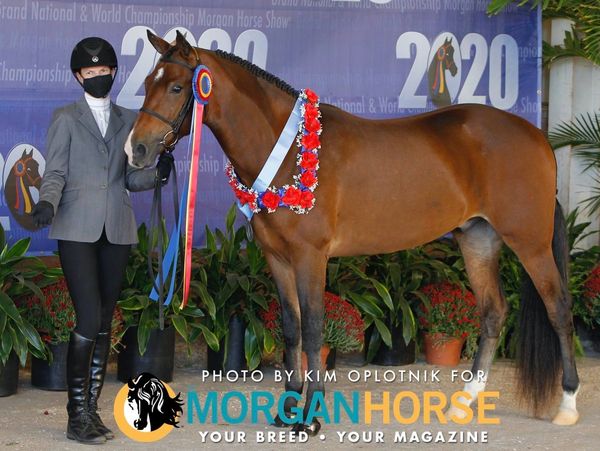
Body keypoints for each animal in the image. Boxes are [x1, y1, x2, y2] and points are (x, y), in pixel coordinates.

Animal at [126, 31, 580, 434]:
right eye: (147, 84)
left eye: (177, 87)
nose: (137, 150)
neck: (288, 150)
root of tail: (537, 136)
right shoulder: (277, 258)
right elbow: (290, 329)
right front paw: (286, 411)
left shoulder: (311, 257)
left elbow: (313, 329)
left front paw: (310, 418)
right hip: (477, 239)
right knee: (492, 312)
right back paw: (464, 402)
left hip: (530, 243)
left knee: (558, 309)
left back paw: (567, 405)